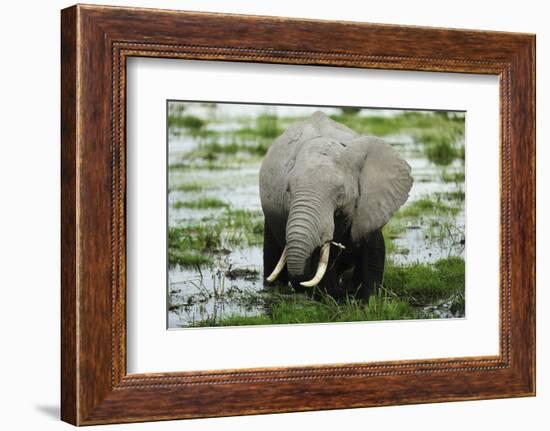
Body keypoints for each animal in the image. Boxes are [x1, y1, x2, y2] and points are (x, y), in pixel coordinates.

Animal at [260, 109, 414, 302]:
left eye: (340, 193)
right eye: (288, 190)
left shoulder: (367, 207)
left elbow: (373, 251)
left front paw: (367, 299)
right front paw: (336, 297)